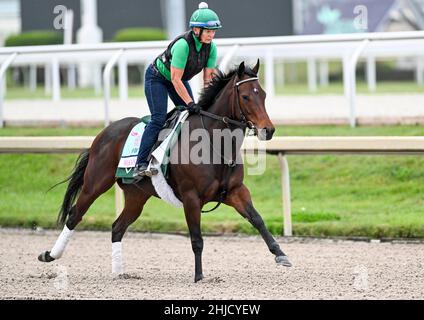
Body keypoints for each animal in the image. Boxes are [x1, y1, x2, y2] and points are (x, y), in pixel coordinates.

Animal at [39, 60, 292, 282]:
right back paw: (50, 254)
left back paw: (119, 273)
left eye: (264, 94)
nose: (268, 130)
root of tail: (103, 133)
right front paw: (199, 276)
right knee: (75, 215)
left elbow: (257, 219)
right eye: (246, 96)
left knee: (117, 227)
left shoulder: (235, 191)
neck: (213, 143)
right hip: (95, 183)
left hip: (136, 196)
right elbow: (197, 239)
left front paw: (281, 254)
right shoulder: (191, 198)